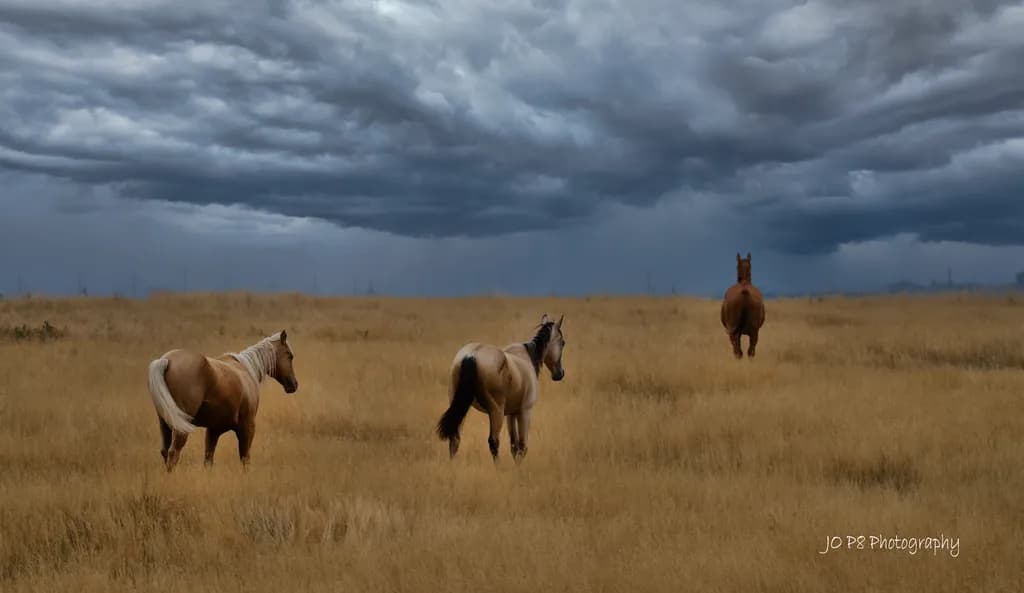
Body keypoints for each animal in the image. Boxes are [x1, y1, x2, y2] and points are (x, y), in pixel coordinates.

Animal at [146, 330, 298, 472]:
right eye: (290, 355)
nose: (294, 384)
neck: (246, 370)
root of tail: (166, 361)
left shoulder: (214, 430)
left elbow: (208, 460)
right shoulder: (248, 426)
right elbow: (245, 458)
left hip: (165, 422)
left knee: (165, 452)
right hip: (180, 427)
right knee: (173, 453)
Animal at [435, 313, 566, 464]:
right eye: (563, 343)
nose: (560, 374)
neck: (527, 358)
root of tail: (471, 355)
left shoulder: (511, 414)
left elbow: (514, 446)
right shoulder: (524, 412)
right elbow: (522, 446)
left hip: (459, 406)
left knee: (455, 438)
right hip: (496, 411)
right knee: (493, 441)